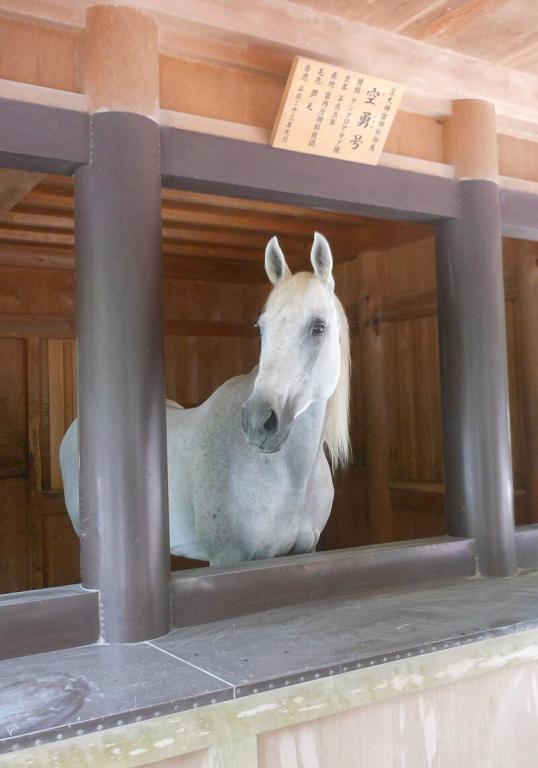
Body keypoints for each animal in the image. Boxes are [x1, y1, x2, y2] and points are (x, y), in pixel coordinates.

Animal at [60, 232, 351, 567]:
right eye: (261, 328)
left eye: (318, 327)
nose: (258, 422)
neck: (292, 475)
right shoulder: (228, 558)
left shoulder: (305, 550)